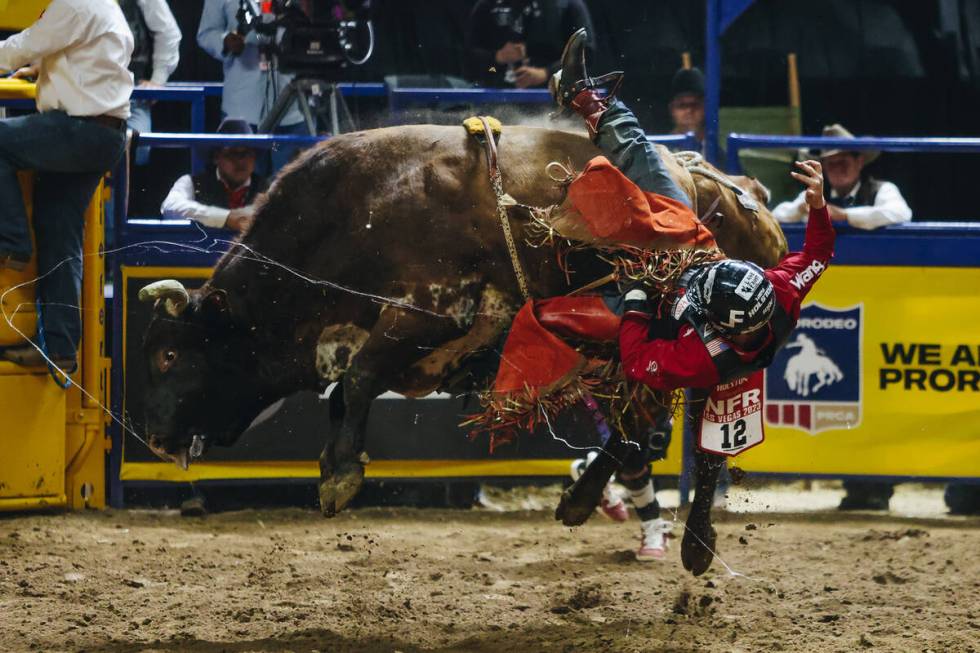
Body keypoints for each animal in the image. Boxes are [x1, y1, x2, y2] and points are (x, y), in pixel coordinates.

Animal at [140, 125, 788, 572]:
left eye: (170, 356)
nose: (154, 437)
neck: (359, 215)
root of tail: (740, 190)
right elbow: (345, 392)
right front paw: (333, 464)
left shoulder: (429, 313)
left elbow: (357, 381)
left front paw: (340, 475)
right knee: (636, 427)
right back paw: (582, 499)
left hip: (716, 352)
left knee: (701, 439)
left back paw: (696, 542)